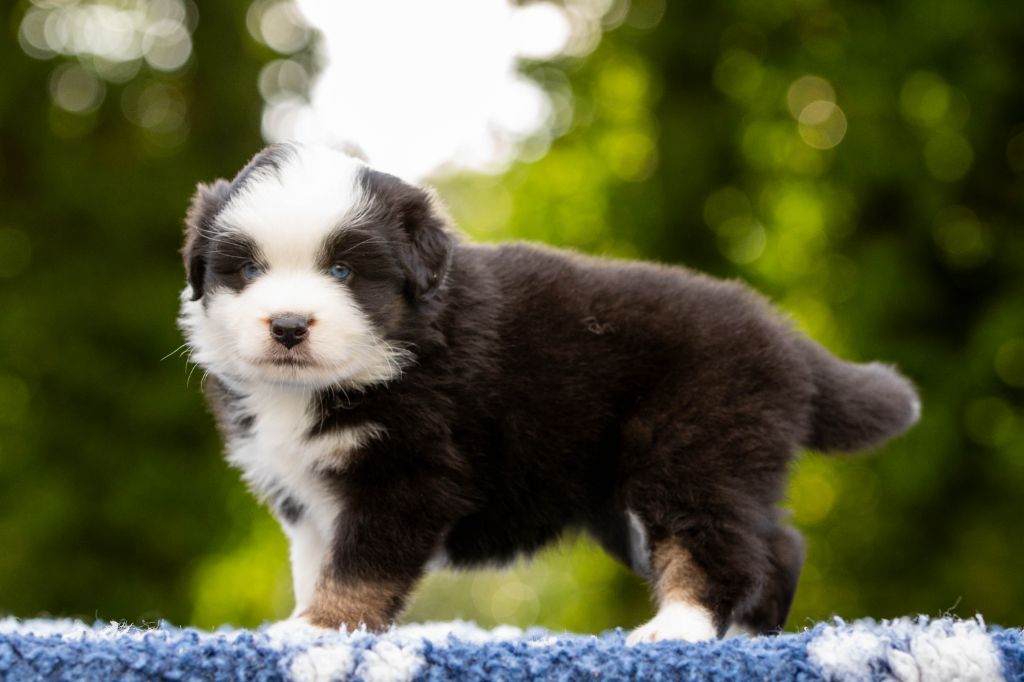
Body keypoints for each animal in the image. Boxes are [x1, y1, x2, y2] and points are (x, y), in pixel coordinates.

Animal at [178, 142, 919, 643]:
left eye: (343, 271)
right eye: (246, 270)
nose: (288, 325)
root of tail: (784, 335)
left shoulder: (409, 478)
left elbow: (359, 565)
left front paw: (321, 627)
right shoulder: (306, 495)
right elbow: (317, 561)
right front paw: (306, 620)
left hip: (691, 447)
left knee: (719, 544)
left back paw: (679, 628)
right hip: (654, 490)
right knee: (779, 543)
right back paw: (745, 635)